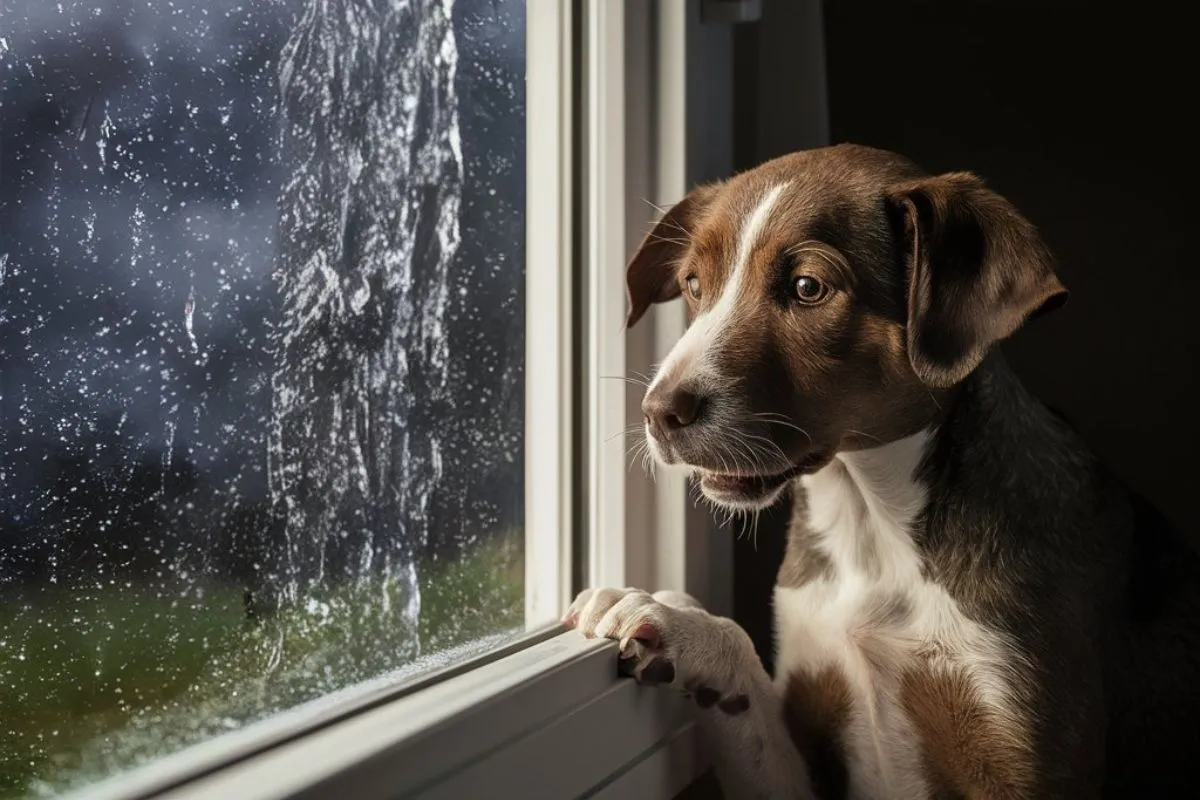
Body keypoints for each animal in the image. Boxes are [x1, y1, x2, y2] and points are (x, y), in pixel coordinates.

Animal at [561, 145, 1200, 800]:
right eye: (693, 284)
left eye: (808, 288)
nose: (658, 413)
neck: (870, 528)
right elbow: (741, 661)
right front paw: (670, 615)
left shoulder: (1021, 747)